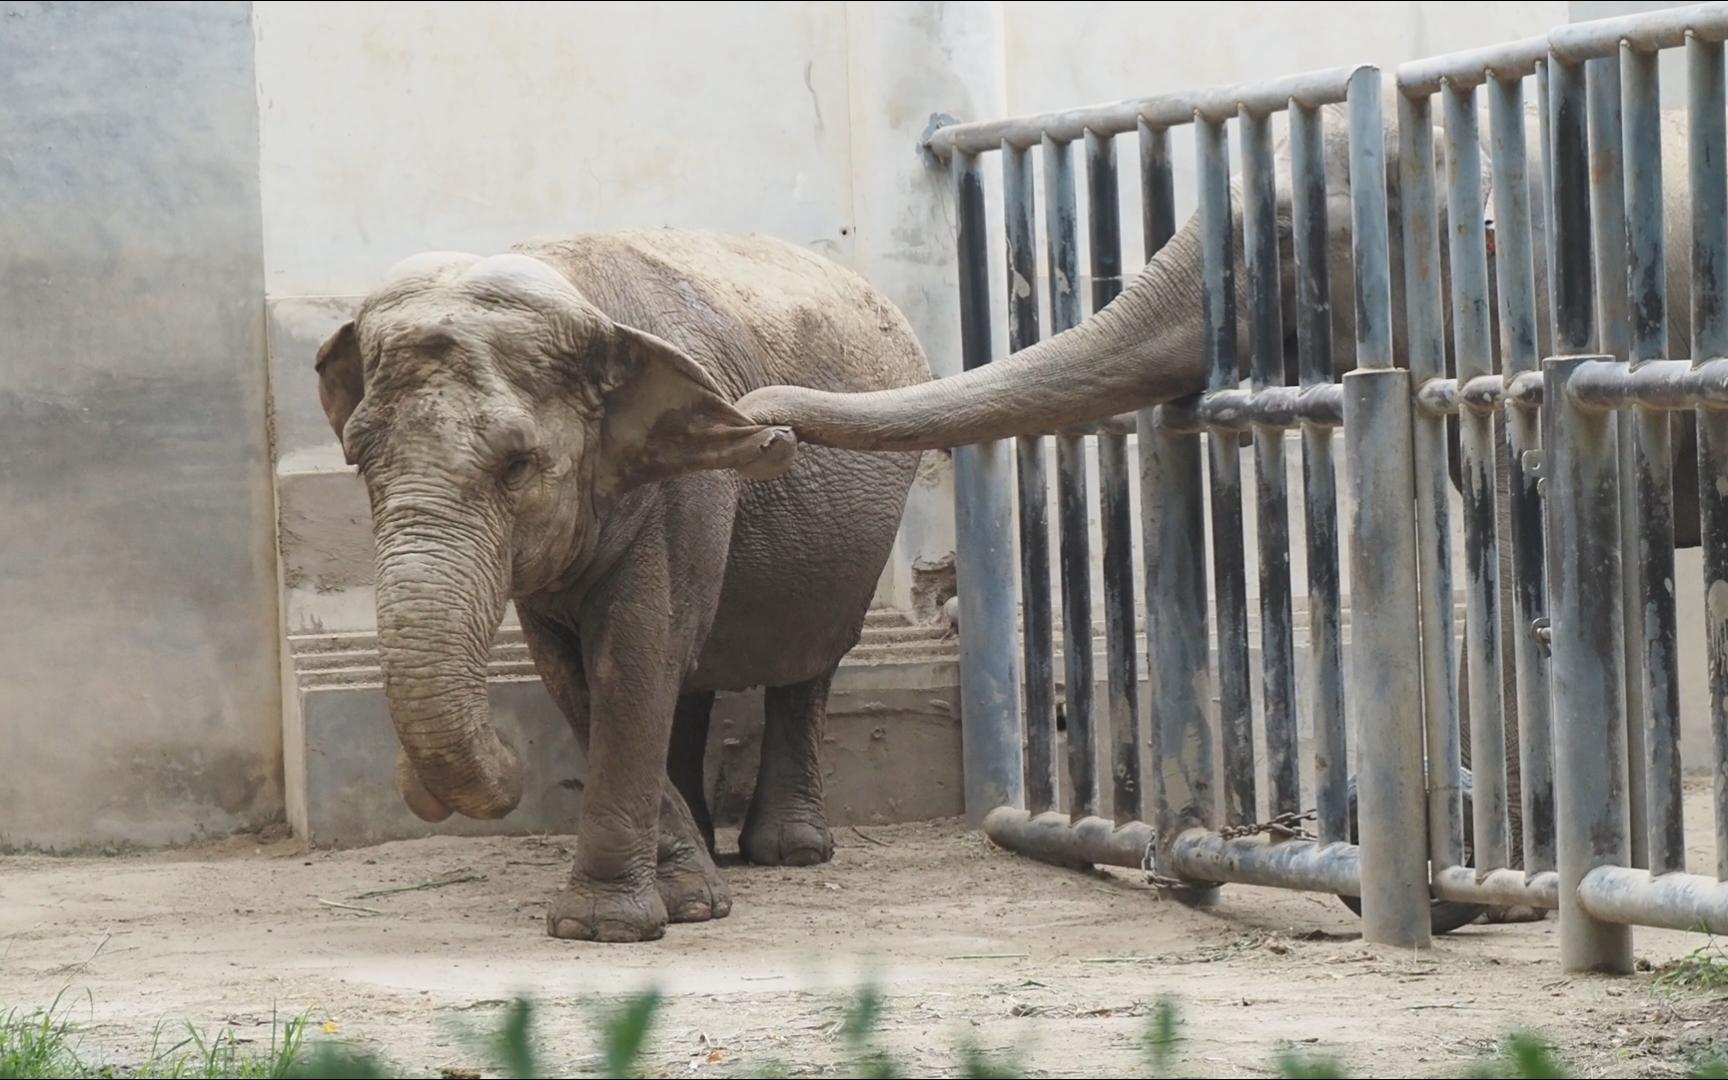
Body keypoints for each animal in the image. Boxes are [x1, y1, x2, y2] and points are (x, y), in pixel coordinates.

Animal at [316, 229, 926, 940]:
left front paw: (610, 926)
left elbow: (633, 656)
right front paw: (684, 902)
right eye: (360, 458)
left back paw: (791, 852)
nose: (775, 438)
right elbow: (573, 674)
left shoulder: (684, 486)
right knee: (693, 680)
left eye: (517, 465)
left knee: (806, 665)